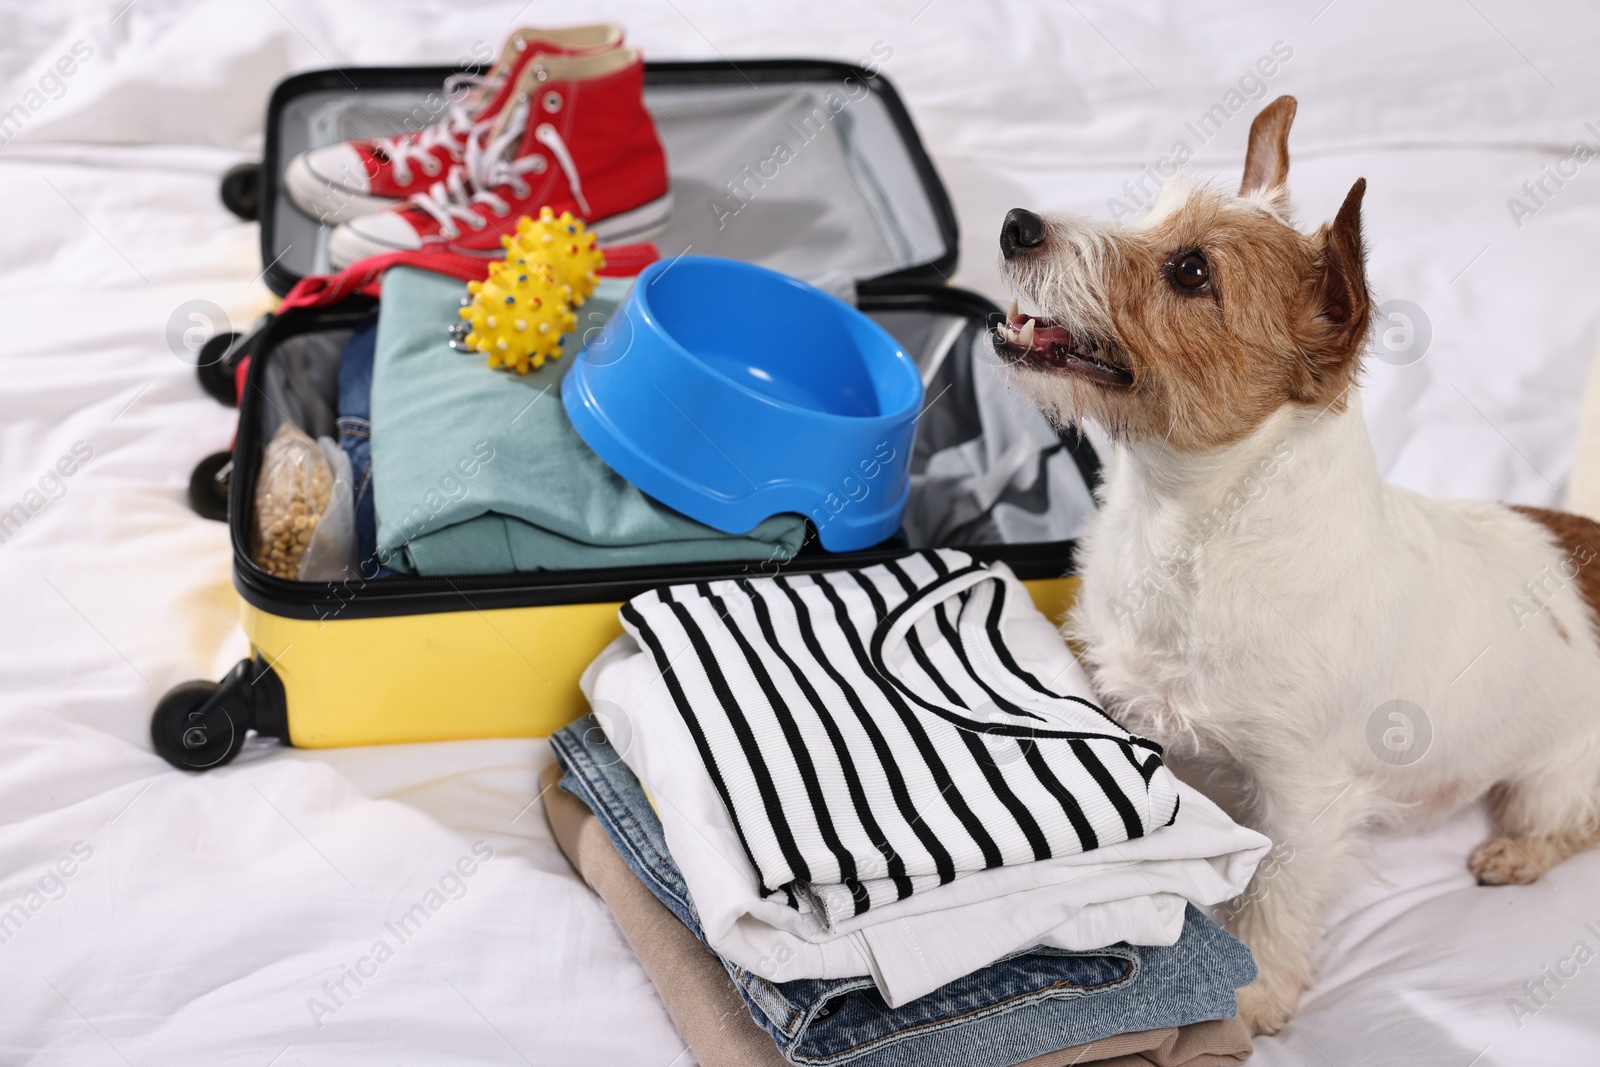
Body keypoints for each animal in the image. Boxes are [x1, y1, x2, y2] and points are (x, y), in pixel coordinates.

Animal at [992, 93, 1600, 1036]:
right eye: (1151, 212)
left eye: (1191, 271)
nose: (1016, 223)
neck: (1189, 523)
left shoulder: (1305, 796)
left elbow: (1275, 896)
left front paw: (1251, 1001)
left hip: (1554, 777)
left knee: (1575, 824)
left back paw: (1517, 853)